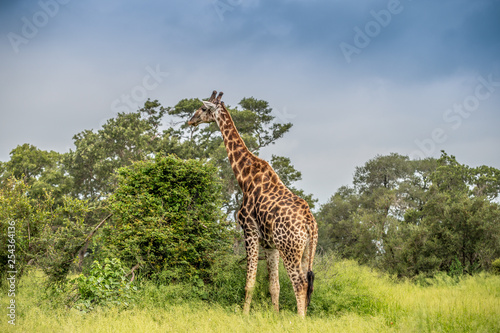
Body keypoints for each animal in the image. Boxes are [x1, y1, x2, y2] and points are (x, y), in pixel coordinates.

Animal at [188, 89, 316, 316]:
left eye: (203, 108)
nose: (190, 120)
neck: (244, 177)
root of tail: (310, 223)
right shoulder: (270, 244)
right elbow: (274, 286)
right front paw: (274, 316)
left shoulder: (249, 231)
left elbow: (250, 282)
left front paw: (244, 314)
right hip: (306, 251)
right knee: (307, 283)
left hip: (290, 249)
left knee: (300, 283)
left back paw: (300, 319)